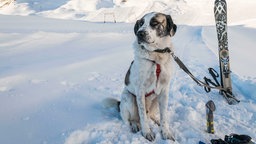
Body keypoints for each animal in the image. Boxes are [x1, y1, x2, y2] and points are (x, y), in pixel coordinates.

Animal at [103, 11, 176, 142]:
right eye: (140, 23)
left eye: (154, 23)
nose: (139, 33)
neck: (156, 57)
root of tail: (119, 104)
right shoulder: (140, 90)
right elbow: (142, 116)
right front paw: (147, 132)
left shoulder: (164, 91)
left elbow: (164, 116)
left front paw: (165, 132)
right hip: (129, 98)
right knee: (130, 120)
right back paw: (134, 125)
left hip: (156, 99)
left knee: (150, 115)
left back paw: (155, 120)